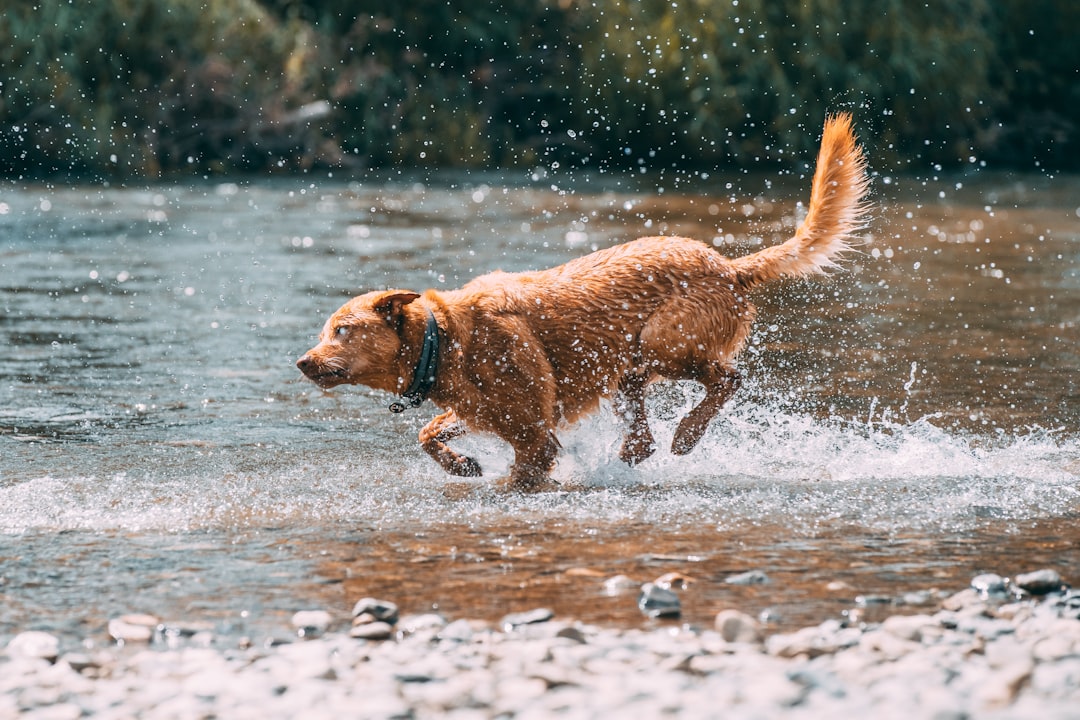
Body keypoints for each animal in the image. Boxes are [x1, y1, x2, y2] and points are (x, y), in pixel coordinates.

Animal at [295, 115, 868, 492]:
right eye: (325, 331)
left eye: (341, 330)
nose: (302, 362)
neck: (446, 339)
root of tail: (730, 266)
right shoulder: (482, 410)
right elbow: (425, 432)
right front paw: (460, 465)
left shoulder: (534, 437)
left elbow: (523, 472)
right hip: (627, 366)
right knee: (646, 434)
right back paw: (637, 451)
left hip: (662, 342)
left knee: (728, 379)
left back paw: (687, 435)